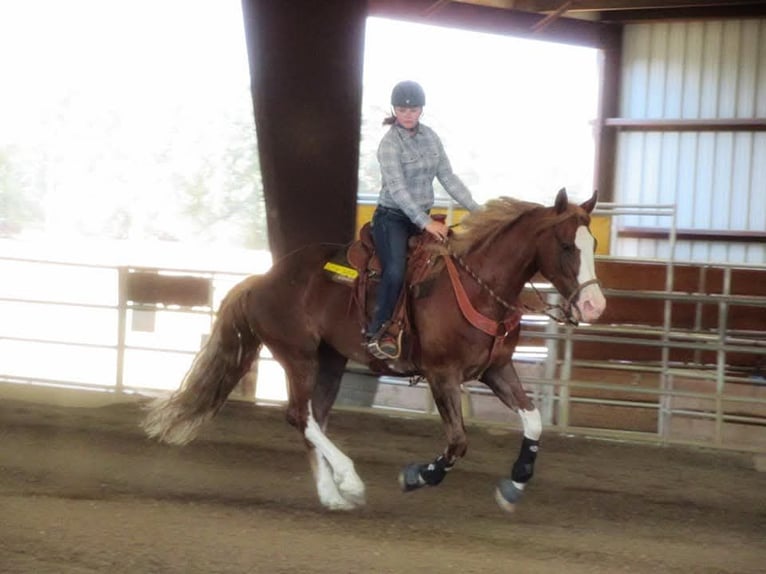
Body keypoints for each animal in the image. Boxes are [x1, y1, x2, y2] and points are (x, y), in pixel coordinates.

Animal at [142, 188, 608, 512]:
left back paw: (332, 495)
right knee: (299, 416)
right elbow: (457, 442)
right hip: (299, 356)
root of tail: (263, 279)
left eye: (594, 246)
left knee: (313, 419)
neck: (478, 286)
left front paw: (514, 484)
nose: (594, 305)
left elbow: (534, 422)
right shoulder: (442, 374)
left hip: (329, 361)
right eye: (567, 246)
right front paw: (415, 476)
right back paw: (349, 481)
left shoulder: (497, 369)